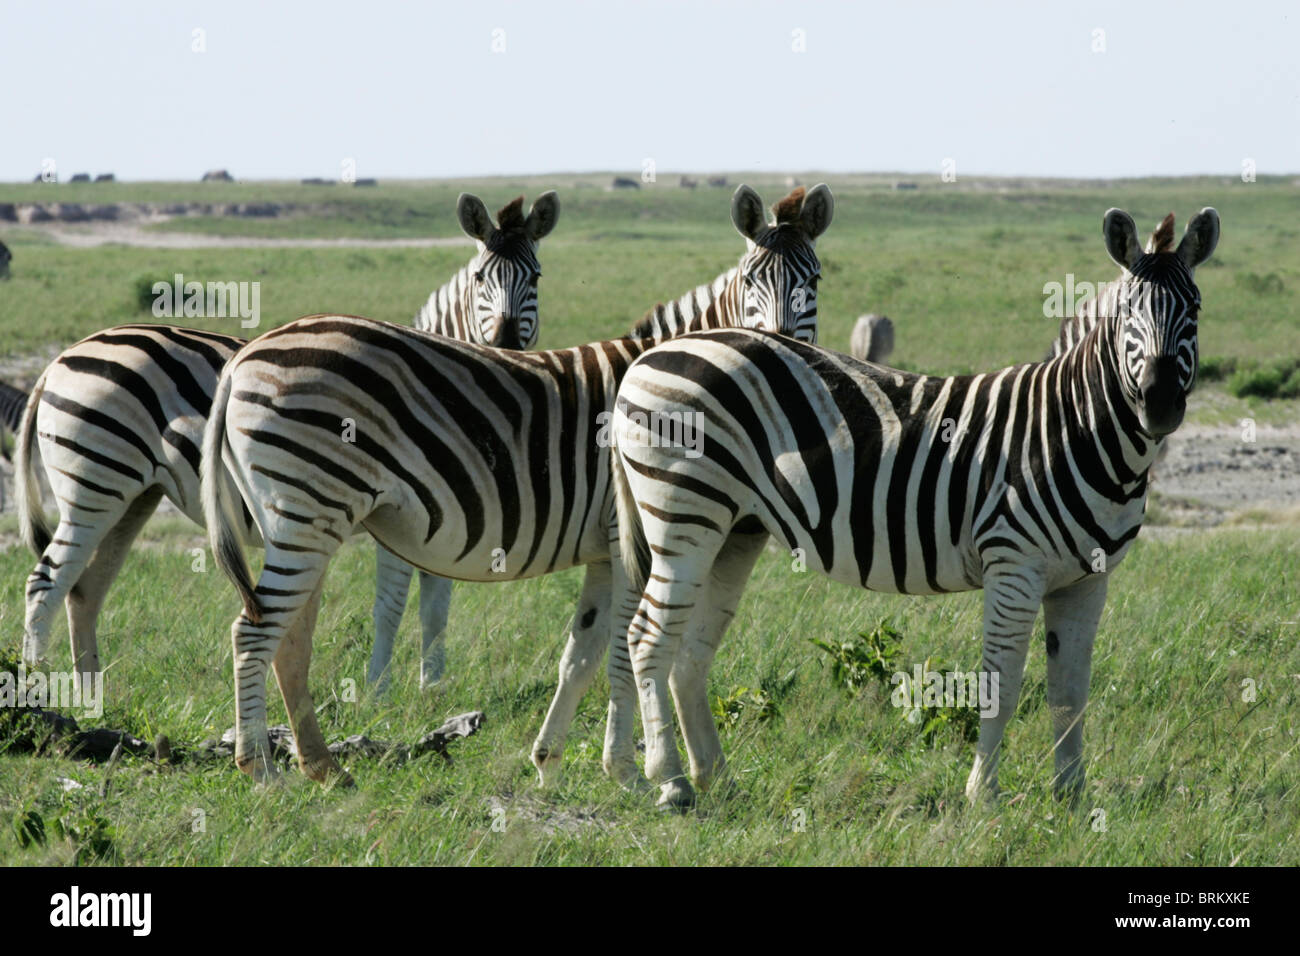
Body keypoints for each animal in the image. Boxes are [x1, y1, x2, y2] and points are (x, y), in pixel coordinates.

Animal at [15, 192, 561, 686]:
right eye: (480, 279)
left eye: (535, 277)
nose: (507, 344)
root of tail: (60, 358)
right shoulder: (402, 509)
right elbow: (391, 603)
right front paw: (379, 692)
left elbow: (437, 603)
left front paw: (432, 690)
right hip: (95, 483)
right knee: (46, 582)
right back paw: (40, 682)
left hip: (132, 494)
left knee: (83, 589)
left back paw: (92, 689)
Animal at [202, 184, 832, 785]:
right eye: (752, 280)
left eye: (816, 279)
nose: (784, 348)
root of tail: (248, 354)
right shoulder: (633, 539)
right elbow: (621, 656)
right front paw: (630, 772)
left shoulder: (606, 551)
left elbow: (581, 656)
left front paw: (555, 763)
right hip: (308, 509)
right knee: (253, 633)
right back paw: (264, 774)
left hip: (300, 519)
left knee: (289, 639)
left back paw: (323, 768)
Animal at [608, 204, 1216, 806]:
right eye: (1129, 312)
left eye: (1195, 309)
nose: (1160, 403)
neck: (1074, 428)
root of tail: (649, 356)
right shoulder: (1014, 565)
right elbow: (1002, 683)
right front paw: (983, 795)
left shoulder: (1087, 580)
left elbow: (1071, 692)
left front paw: (1071, 797)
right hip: (685, 515)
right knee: (647, 638)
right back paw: (671, 780)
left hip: (734, 529)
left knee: (691, 651)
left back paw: (716, 777)